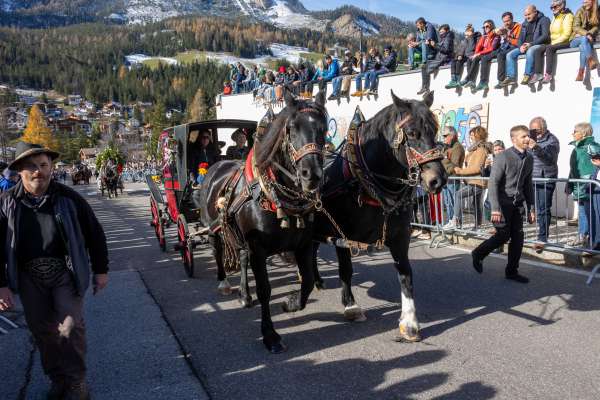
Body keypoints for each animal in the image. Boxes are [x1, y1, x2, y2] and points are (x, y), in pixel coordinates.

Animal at [199, 90, 328, 354]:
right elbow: (265, 290)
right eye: (291, 128)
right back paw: (224, 283)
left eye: (324, 127)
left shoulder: (303, 244)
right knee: (218, 251)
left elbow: (308, 280)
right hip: (215, 229)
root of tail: (216, 165)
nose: (311, 175)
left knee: (241, 258)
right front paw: (270, 335)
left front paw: (291, 303)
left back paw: (244, 294)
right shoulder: (258, 248)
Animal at [308, 90, 448, 340]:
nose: (437, 180)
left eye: (434, 130)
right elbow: (346, 269)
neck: (364, 182)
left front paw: (409, 321)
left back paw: (316, 280)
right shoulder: (341, 234)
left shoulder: (400, 235)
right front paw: (351, 306)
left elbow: (405, 273)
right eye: (412, 132)